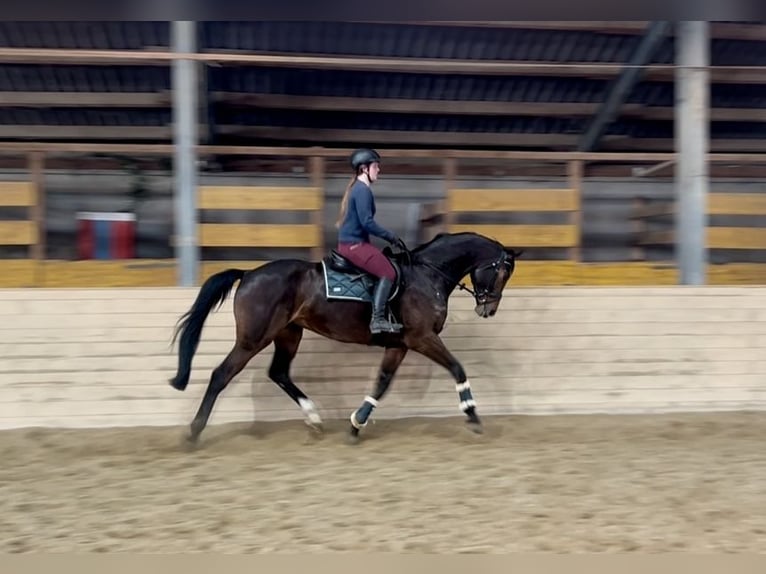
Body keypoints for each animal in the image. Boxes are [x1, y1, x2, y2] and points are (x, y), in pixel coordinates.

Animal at [168, 232, 520, 448]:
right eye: (502, 273)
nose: (488, 309)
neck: (426, 275)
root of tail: (249, 273)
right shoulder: (422, 338)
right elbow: (457, 368)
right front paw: (472, 415)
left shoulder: (399, 345)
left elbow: (381, 383)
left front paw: (355, 424)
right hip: (253, 339)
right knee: (221, 375)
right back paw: (194, 432)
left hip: (288, 333)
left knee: (279, 372)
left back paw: (314, 417)